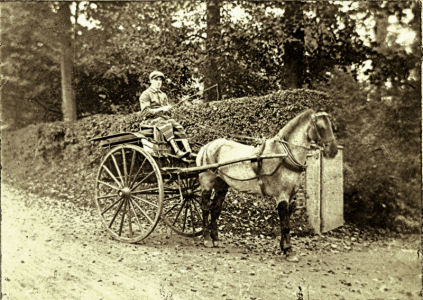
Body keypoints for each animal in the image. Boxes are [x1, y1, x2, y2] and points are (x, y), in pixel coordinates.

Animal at [195, 109, 338, 258]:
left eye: (332, 126)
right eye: (321, 127)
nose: (333, 150)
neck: (283, 155)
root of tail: (207, 146)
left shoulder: (290, 196)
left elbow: (285, 222)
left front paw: (283, 247)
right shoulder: (282, 195)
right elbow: (285, 224)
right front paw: (288, 250)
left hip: (221, 186)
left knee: (215, 209)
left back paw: (215, 239)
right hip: (207, 183)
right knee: (205, 208)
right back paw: (207, 239)